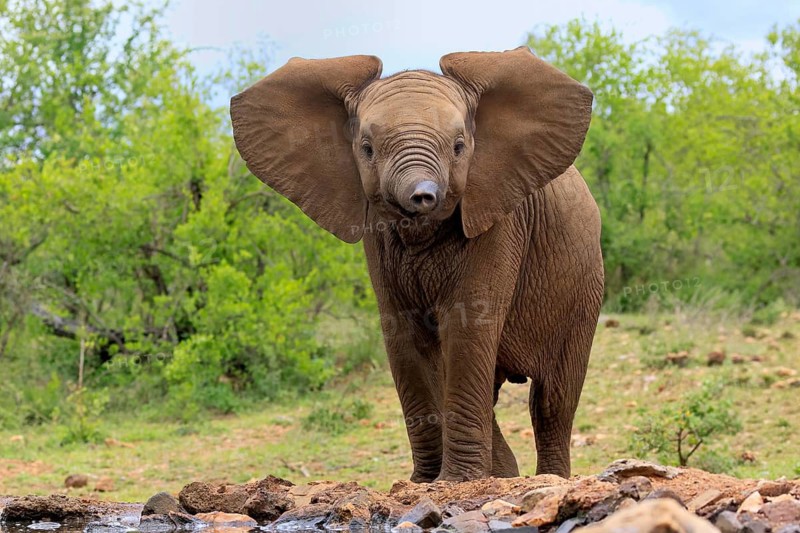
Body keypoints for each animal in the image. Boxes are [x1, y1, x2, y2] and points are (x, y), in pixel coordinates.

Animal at [230, 46, 604, 481]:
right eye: (367, 148)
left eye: (459, 146)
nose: (422, 196)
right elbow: (403, 335)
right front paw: (426, 482)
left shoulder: (500, 220)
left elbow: (467, 326)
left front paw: (457, 482)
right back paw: (503, 475)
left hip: (584, 288)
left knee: (551, 400)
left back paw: (548, 478)